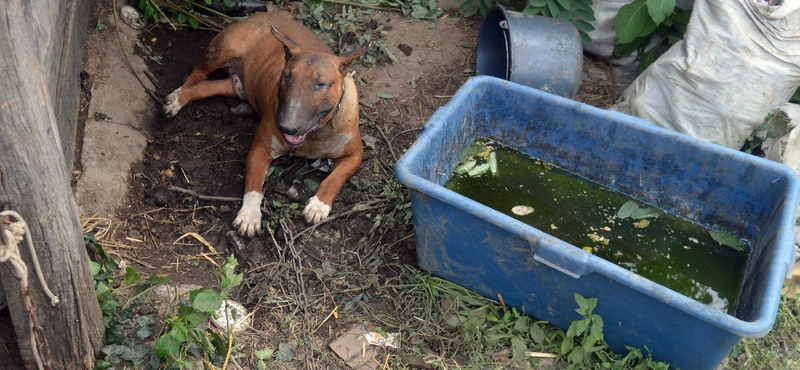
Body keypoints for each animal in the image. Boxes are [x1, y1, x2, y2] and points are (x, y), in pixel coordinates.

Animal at [166, 13, 372, 237]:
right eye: (287, 76)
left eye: (321, 84)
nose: (286, 127)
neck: (315, 135)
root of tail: (262, 14)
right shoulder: (260, 150)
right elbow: (254, 184)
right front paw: (249, 216)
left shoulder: (355, 155)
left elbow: (335, 177)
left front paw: (318, 206)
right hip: (222, 51)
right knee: (198, 73)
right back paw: (175, 99)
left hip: (236, 87)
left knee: (204, 86)